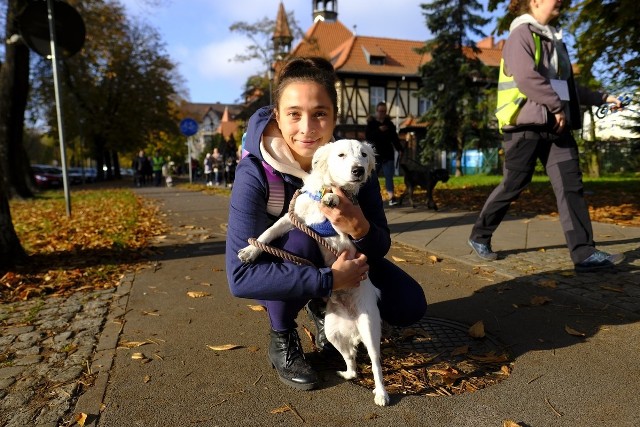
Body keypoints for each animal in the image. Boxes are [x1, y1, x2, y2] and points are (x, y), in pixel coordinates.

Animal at [238, 140, 390, 408]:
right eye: (341, 155)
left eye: (363, 155)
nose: (359, 170)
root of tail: (352, 322)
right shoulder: (292, 218)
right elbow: (268, 233)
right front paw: (250, 251)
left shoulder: (345, 231)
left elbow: (338, 205)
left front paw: (332, 197)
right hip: (332, 331)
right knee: (351, 358)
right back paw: (346, 373)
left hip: (370, 329)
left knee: (375, 364)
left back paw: (381, 394)